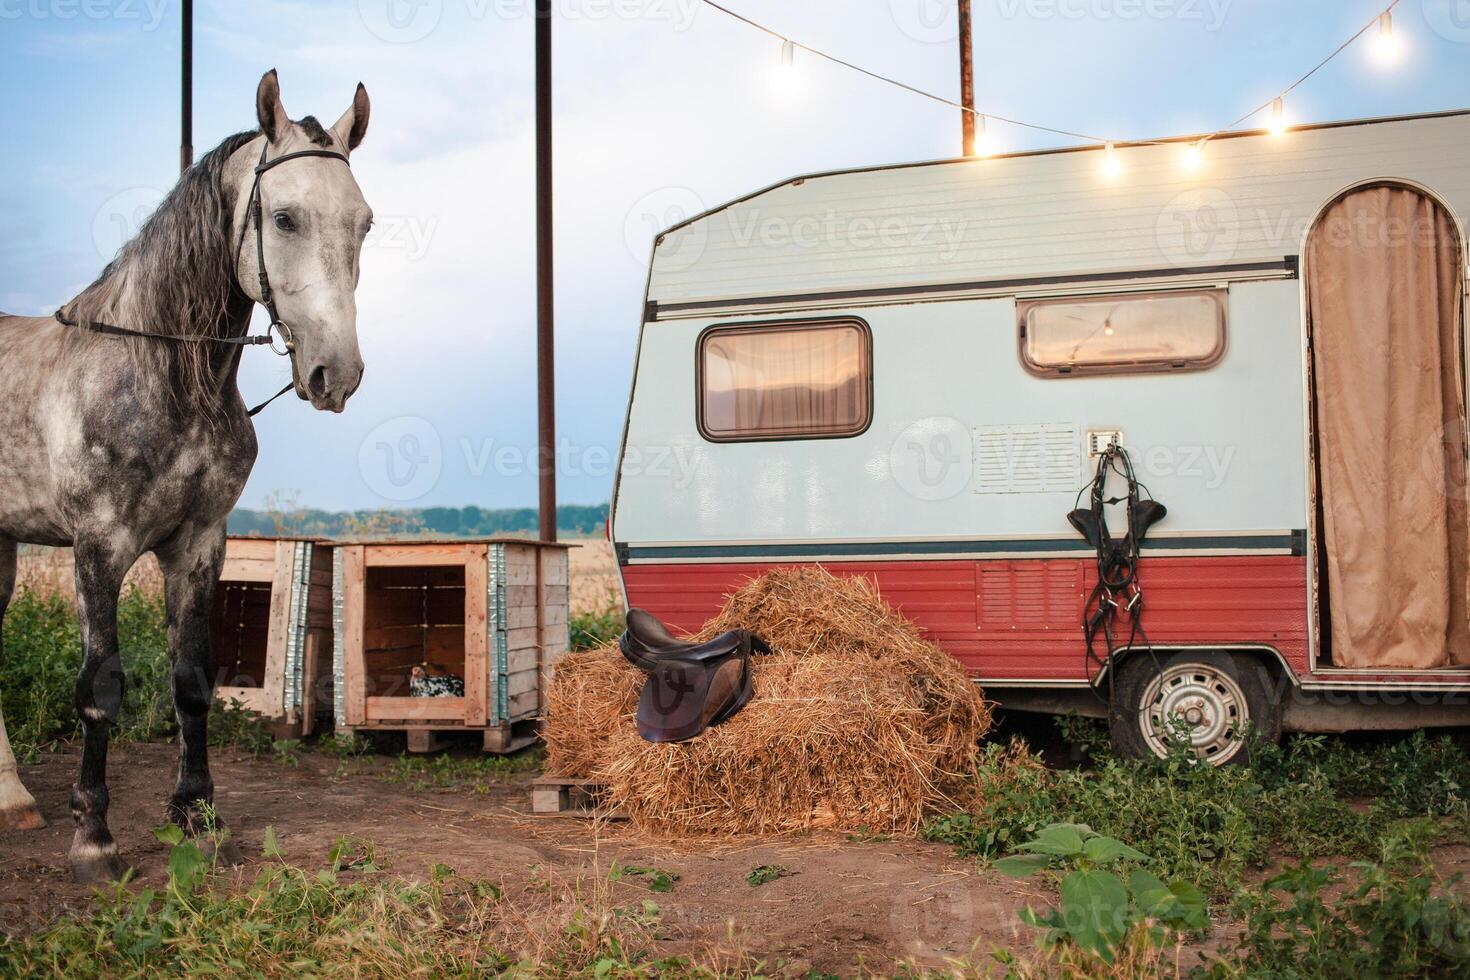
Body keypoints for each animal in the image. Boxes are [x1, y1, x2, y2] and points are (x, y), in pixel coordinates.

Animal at [0, 69, 373, 881]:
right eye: (285, 218)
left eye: (363, 223)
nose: (337, 374)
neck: (161, 373)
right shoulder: (99, 549)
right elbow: (101, 688)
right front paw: (94, 837)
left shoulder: (198, 544)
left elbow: (194, 682)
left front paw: (198, 818)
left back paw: (11, 798)